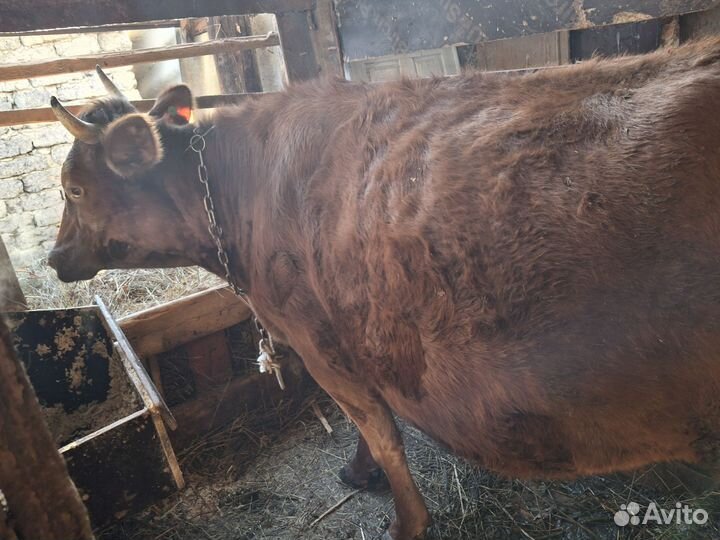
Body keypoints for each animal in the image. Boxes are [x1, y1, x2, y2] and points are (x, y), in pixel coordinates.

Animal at [48, 40, 720, 539]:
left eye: (74, 188)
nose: (54, 259)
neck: (241, 196)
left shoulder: (321, 345)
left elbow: (379, 430)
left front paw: (399, 513)